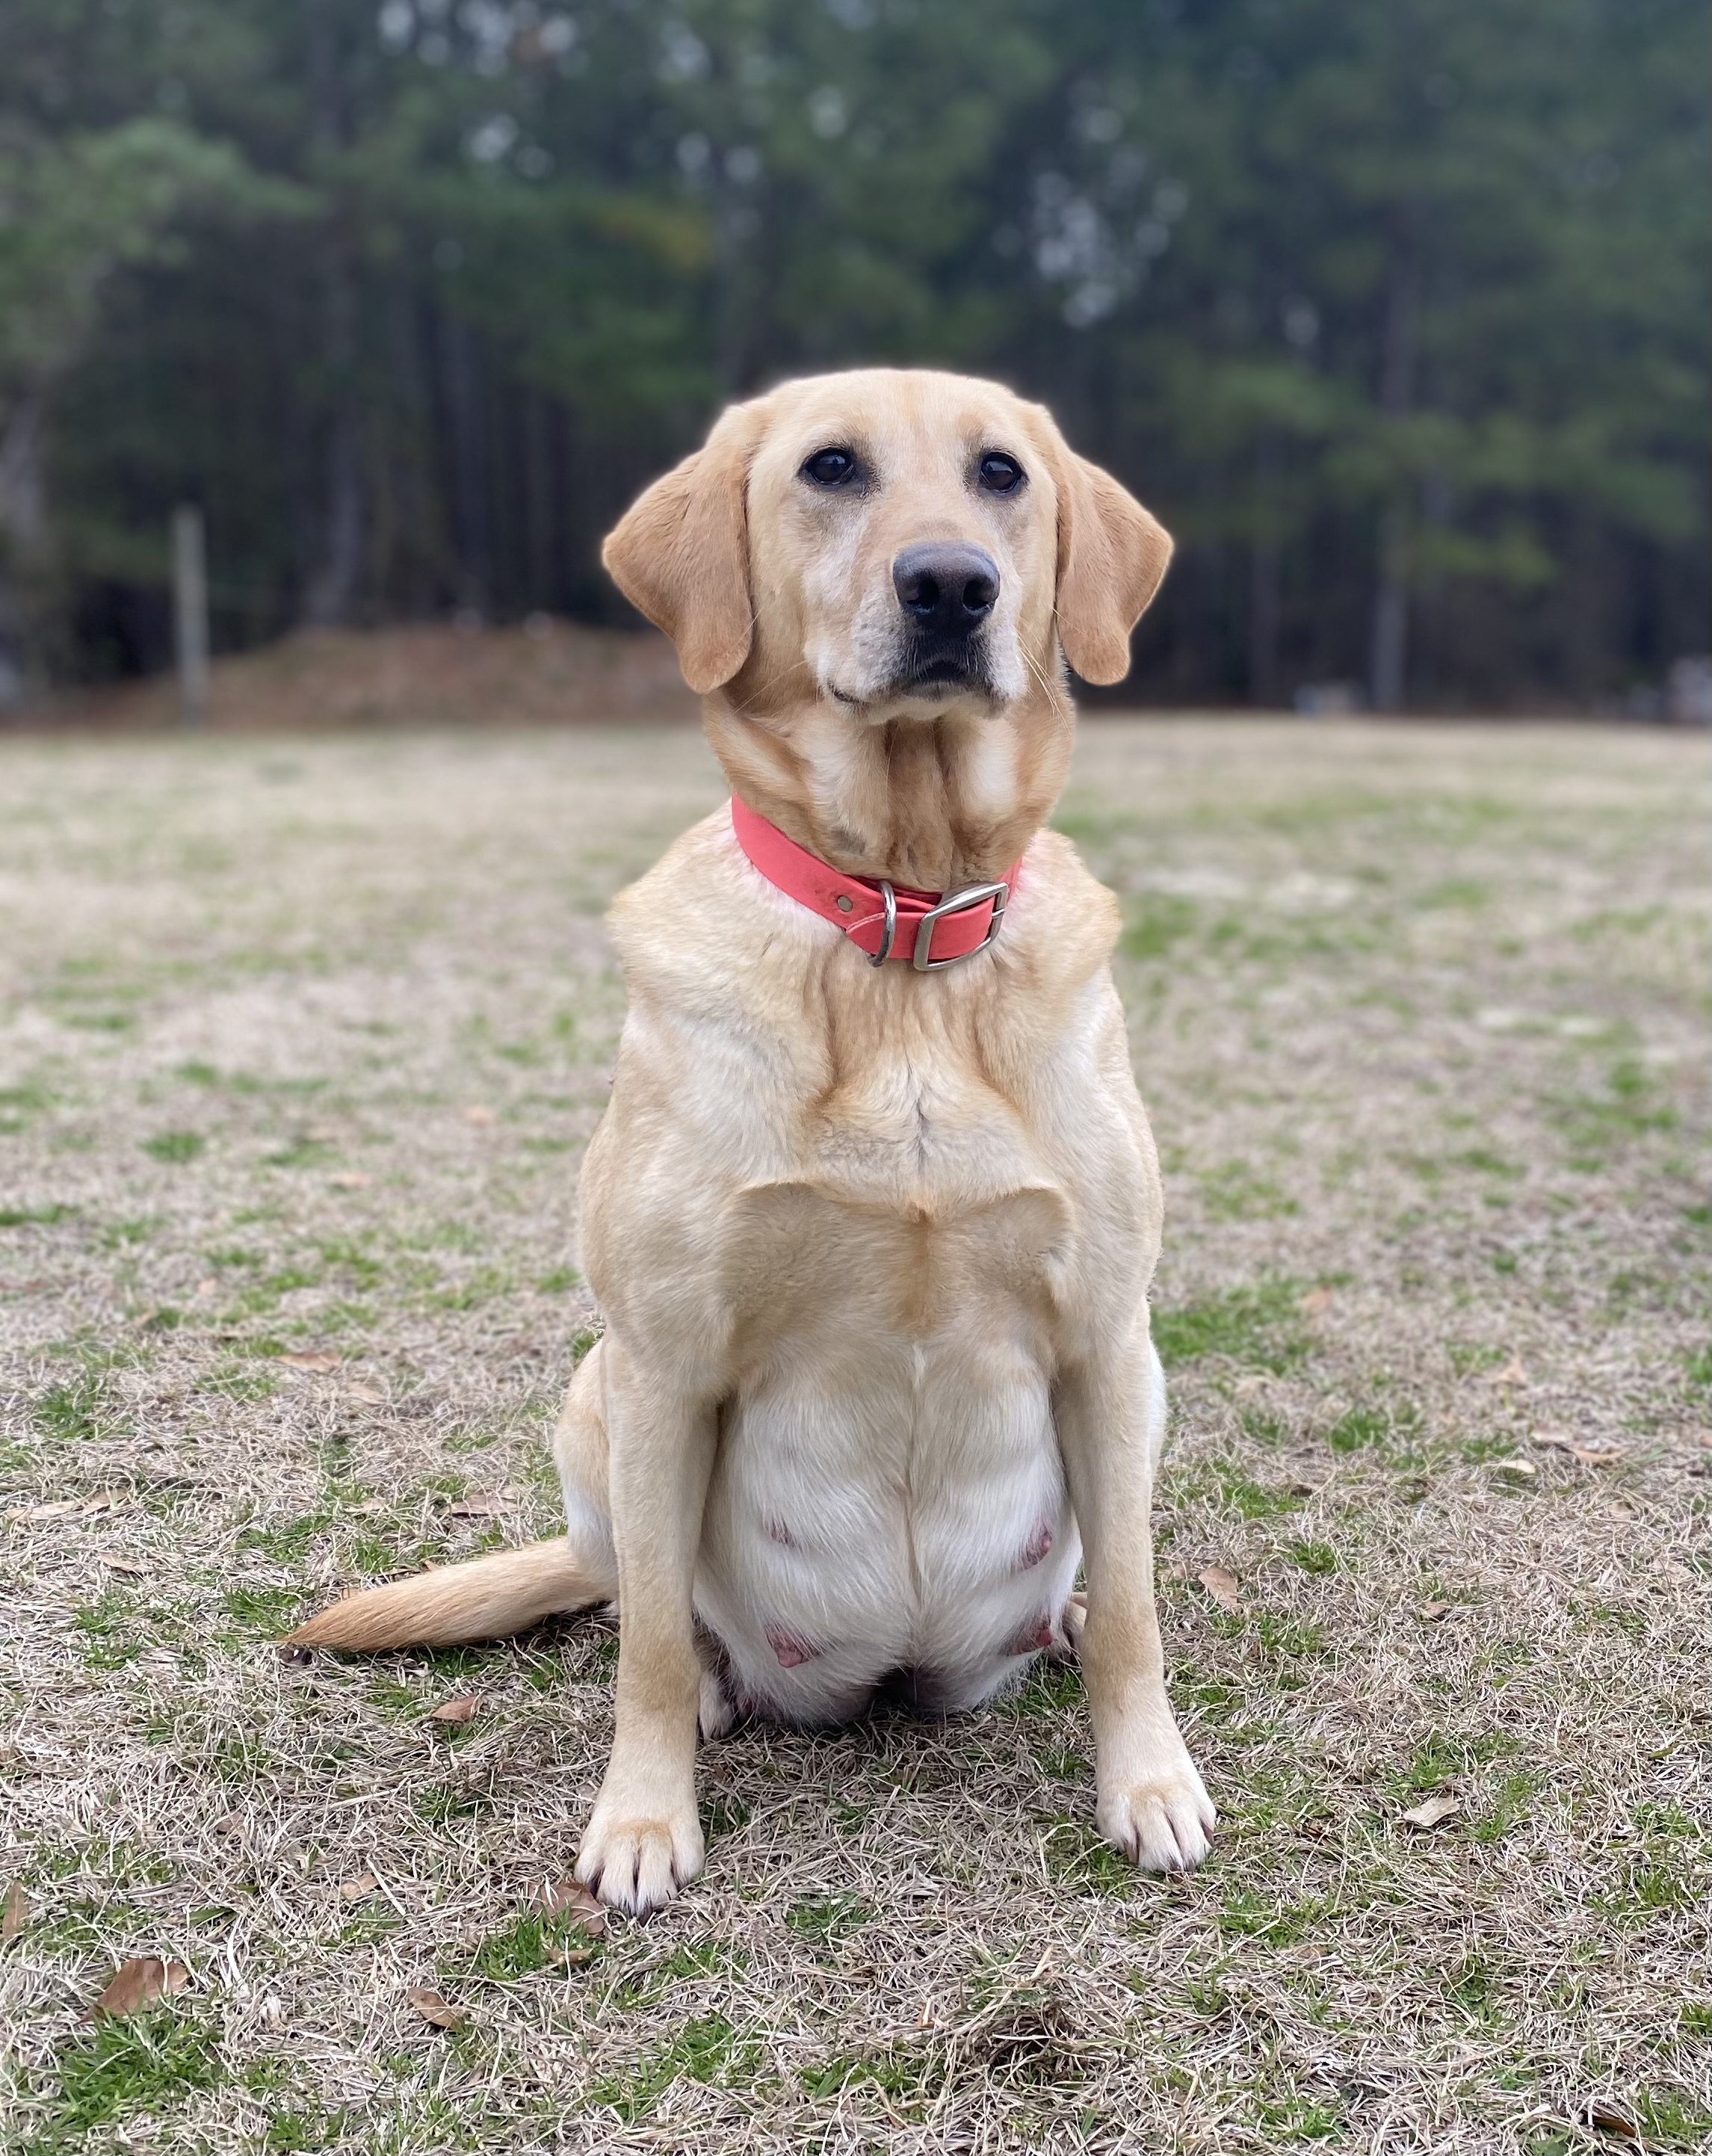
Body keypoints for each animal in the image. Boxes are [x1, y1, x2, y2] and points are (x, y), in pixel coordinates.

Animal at [293, 371, 1224, 1923]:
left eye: (1001, 475)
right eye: (830, 468)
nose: (951, 586)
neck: (901, 935)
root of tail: (893, 1671)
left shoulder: (1109, 1342)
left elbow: (1141, 1616)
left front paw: (1148, 1785)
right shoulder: (667, 1361)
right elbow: (652, 1648)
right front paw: (642, 1818)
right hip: (595, 1401)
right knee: (652, 1607)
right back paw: (727, 1691)